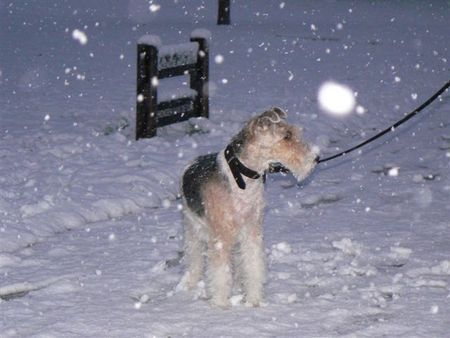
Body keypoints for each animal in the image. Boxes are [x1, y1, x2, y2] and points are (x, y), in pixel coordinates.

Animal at [178, 107, 316, 308]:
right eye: (287, 136)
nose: (316, 158)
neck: (242, 177)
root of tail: (191, 163)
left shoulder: (251, 231)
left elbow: (252, 265)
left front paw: (254, 300)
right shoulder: (221, 237)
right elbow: (220, 272)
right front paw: (221, 304)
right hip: (193, 229)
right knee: (195, 259)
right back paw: (191, 283)